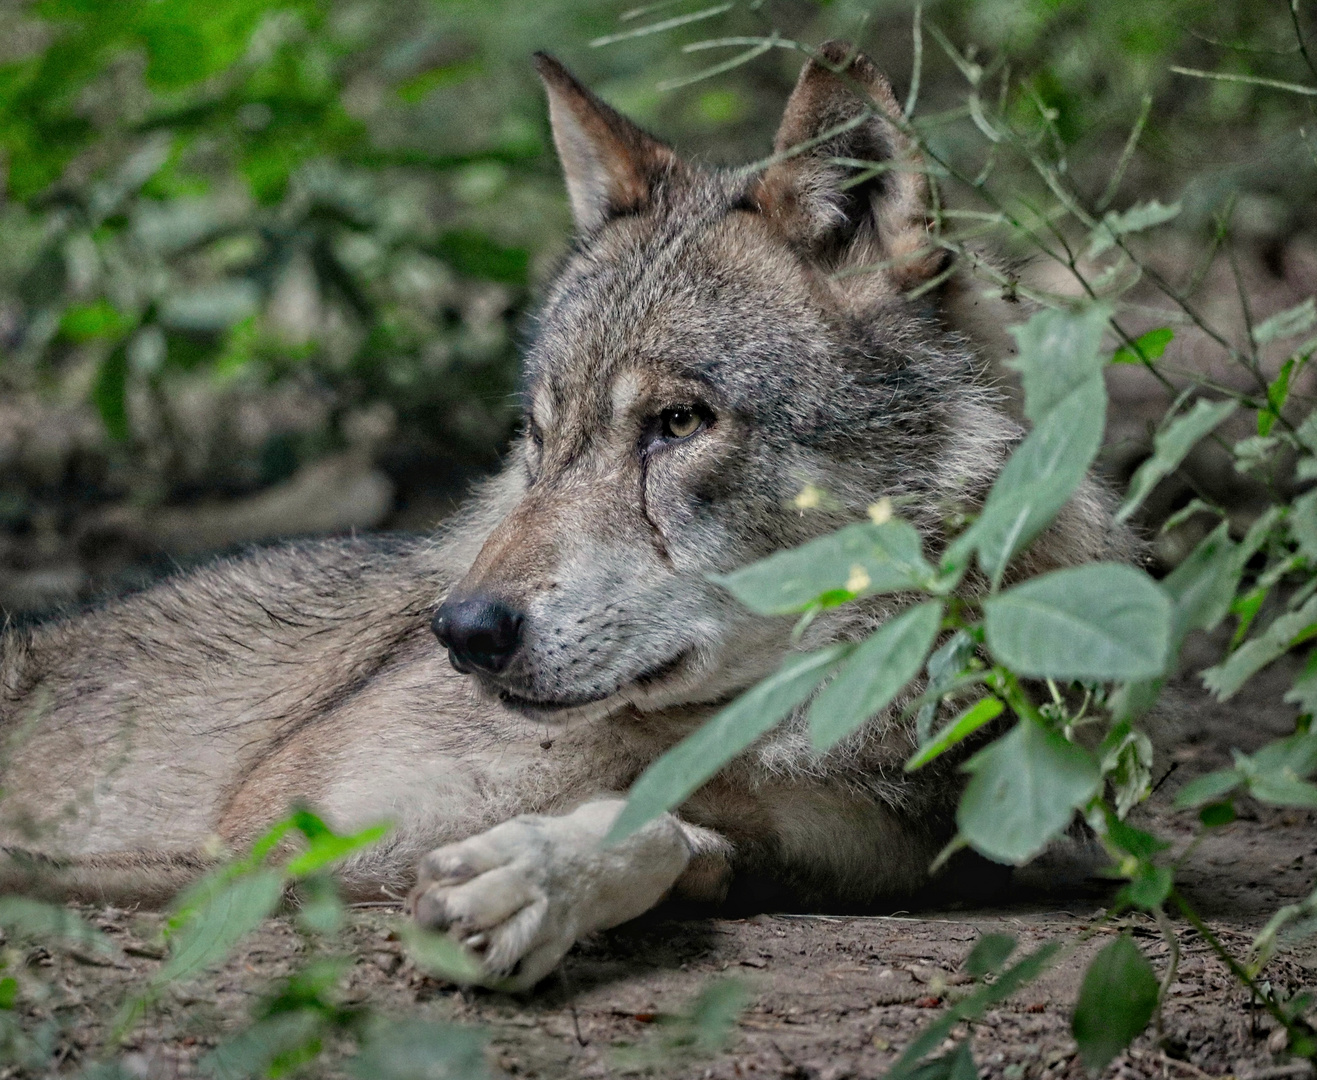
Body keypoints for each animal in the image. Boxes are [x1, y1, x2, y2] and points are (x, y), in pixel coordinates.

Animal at [0, 44, 1132, 985]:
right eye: (539, 435)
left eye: (678, 421)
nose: (463, 632)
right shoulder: (276, 829)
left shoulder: (815, 848)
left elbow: (660, 830)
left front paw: (534, 880)